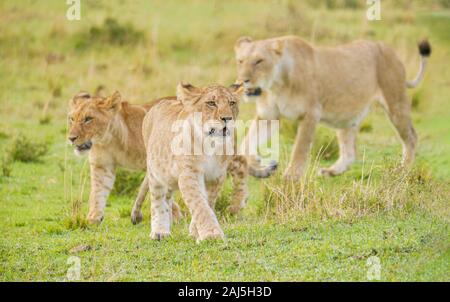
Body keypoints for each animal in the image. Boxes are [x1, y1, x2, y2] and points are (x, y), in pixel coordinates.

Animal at [234, 34, 430, 179]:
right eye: (240, 61)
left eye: (259, 61)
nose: (241, 81)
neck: (276, 85)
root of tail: (390, 50)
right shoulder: (268, 115)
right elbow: (246, 142)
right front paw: (256, 164)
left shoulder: (311, 113)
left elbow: (300, 148)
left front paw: (291, 176)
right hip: (346, 117)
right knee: (350, 152)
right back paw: (331, 171)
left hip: (395, 102)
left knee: (411, 137)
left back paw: (402, 170)